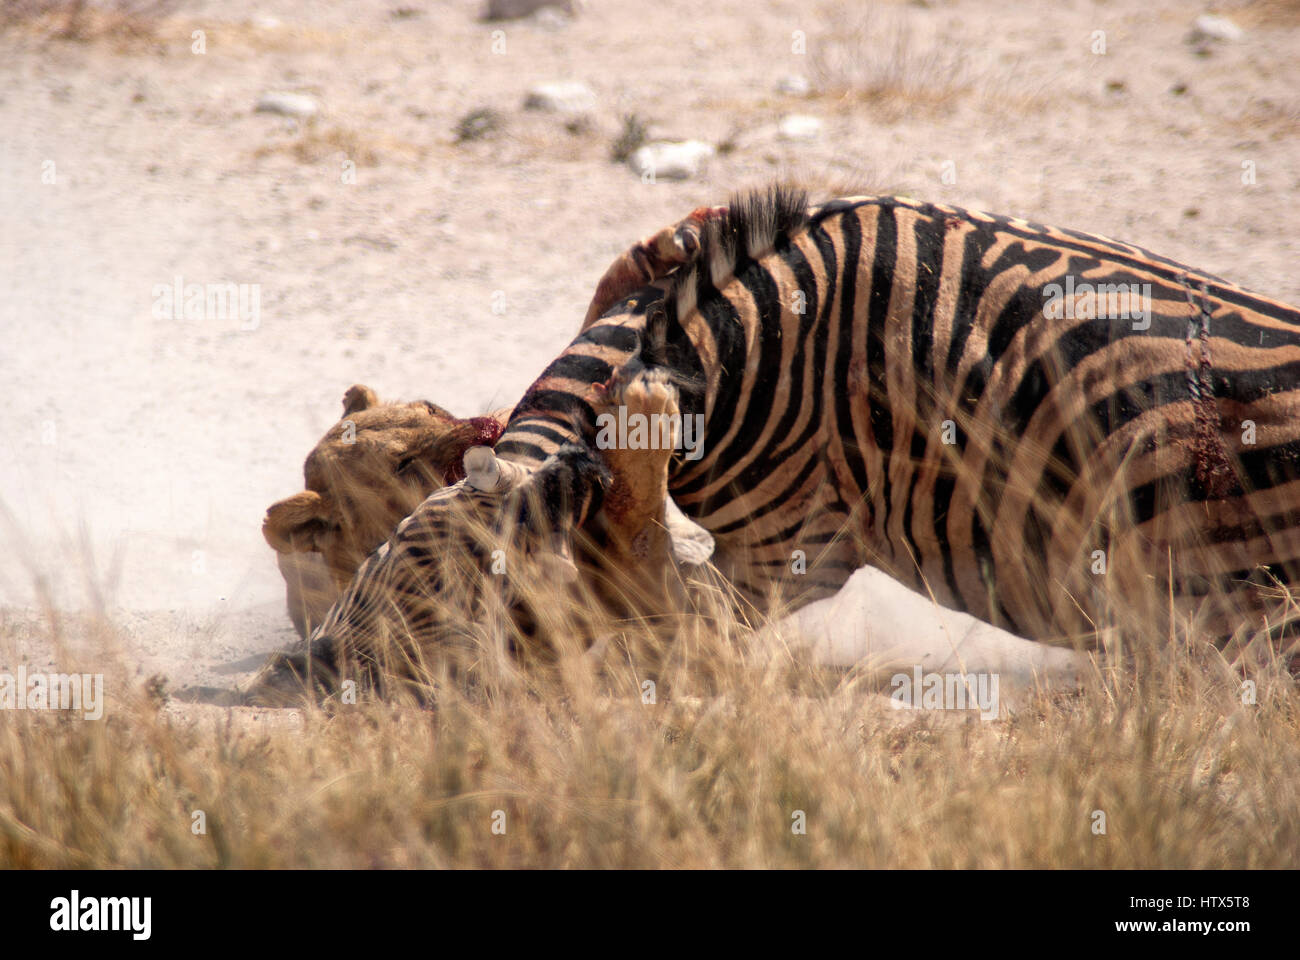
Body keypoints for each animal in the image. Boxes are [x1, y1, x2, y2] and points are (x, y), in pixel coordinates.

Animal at [270, 185, 1300, 694]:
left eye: (413, 565)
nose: (319, 665)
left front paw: (670, 252)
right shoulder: (785, 554)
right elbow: (650, 578)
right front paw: (636, 410)